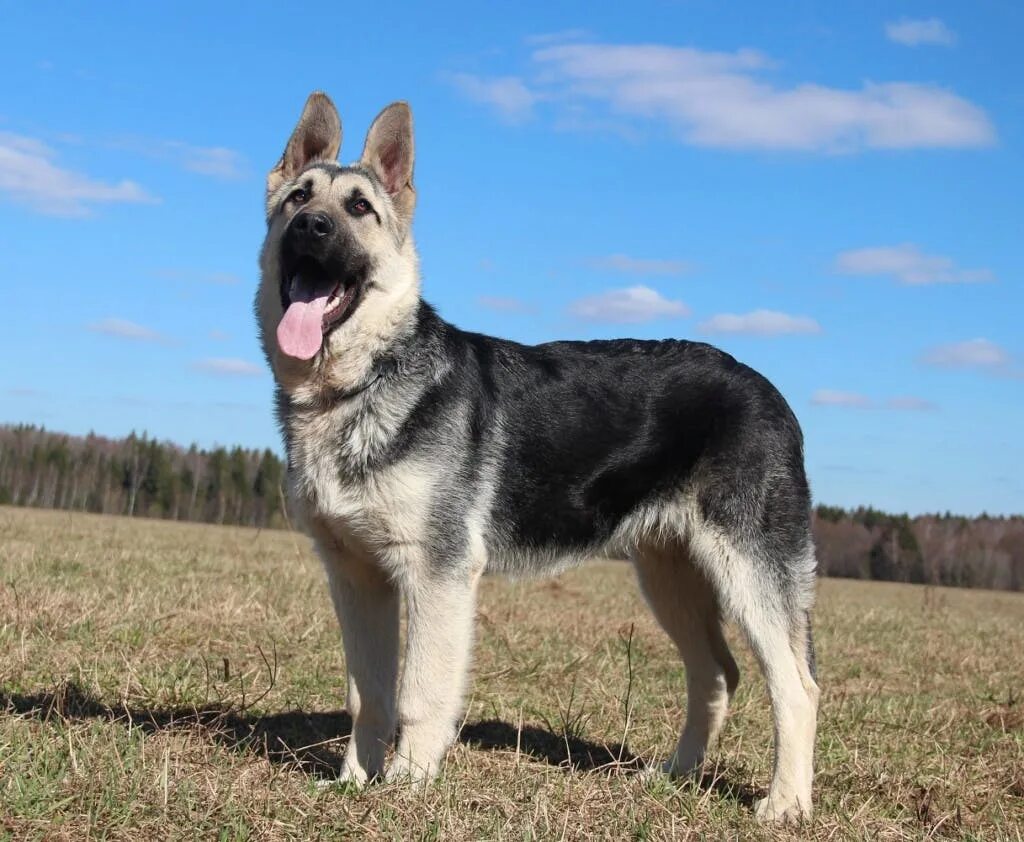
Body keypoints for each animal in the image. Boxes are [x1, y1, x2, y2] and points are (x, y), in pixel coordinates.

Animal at [258, 92, 823, 823]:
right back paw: (672, 777)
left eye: (359, 208)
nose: (312, 226)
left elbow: (419, 693)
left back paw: (785, 805)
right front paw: (355, 782)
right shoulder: (356, 577)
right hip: (670, 576)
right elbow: (369, 695)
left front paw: (405, 788)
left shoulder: (437, 574)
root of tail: (770, 390)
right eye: (299, 197)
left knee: (797, 687)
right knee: (716, 676)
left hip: (748, 574)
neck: (357, 385)